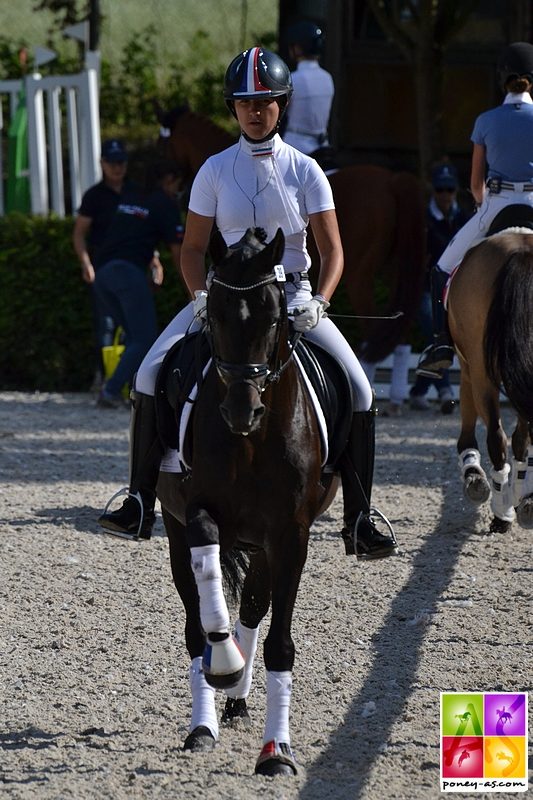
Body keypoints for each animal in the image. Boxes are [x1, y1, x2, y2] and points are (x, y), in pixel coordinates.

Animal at [156, 103, 426, 362]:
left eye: (162, 145)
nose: (170, 189)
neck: (257, 153)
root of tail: (393, 180)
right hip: (394, 270)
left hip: (359, 276)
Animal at [156, 225, 336, 776]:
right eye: (213, 315)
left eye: (275, 316)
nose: (242, 409)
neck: (251, 441)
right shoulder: (195, 514)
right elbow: (208, 599)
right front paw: (225, 665)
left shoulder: (290, 535)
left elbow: (279, 642)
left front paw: (276, 751)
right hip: (176, 533)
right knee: (196, 628)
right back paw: (205, 721)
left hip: (262, 545)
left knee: (254, 608)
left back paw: (237, 699)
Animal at [448, 228, 533, 536]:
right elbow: (521, 439)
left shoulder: (468, 367)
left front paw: (473, 474)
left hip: (481, 370)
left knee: (496, 436)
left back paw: (501, 514)